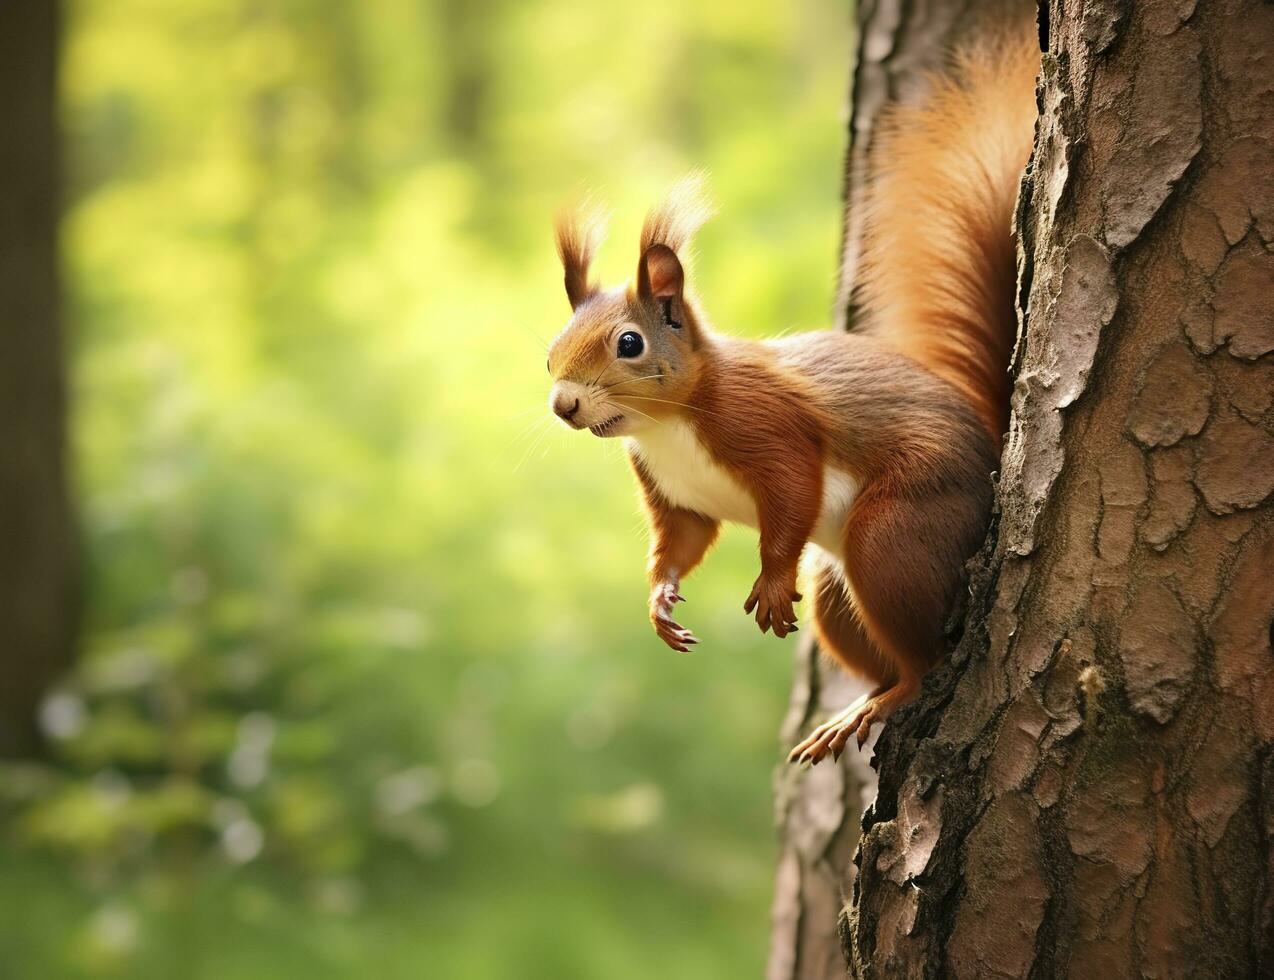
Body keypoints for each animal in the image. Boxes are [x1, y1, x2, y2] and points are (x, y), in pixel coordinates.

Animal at [542, 32, 1039, 764]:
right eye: (552, 347)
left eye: (629, 344)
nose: (563, 406)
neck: (667, 427)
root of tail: (993, 461)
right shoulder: (673, 493)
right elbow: (684, 539)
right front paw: (659, 601)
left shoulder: (766, 423)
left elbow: (792, 490)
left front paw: (772, 583)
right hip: (837, 590)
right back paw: (856, 707)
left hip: (895, 535)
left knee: (922, 664)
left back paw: (885, 698)